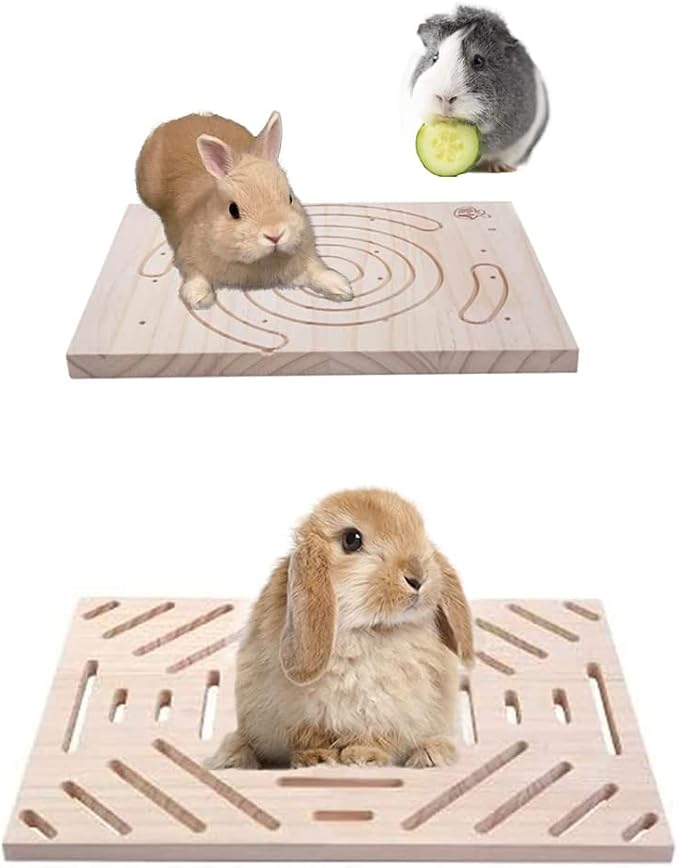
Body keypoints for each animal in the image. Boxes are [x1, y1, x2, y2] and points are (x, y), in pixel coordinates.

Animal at [136, 112, 353, 308]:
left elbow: (315, 269)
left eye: (290, 198)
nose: (275, 234)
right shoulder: (187, 253)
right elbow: (193, 272)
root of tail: (177, 121)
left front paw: (340, 287)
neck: (260, 262)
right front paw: (199, 297)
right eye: (233, 210)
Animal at [205, 489, 474, 770]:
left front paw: (364, 756)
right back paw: (233, 756)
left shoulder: (390, 712)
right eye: (352, 540)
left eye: (420, 532)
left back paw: (431, 755)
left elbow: (377, 736)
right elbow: (312, 736)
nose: (418, 578)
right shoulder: (301, 715)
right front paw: (317, 759)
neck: (366, 630)